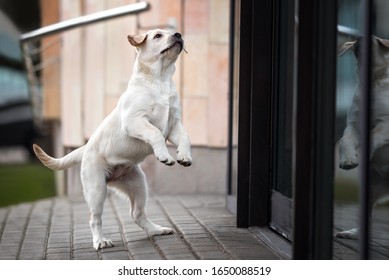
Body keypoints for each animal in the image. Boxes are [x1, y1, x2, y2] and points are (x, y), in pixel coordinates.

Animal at [33, 29, 191, 249]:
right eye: (158, 35)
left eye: (173, 33)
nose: (178, 34)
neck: (160, 80)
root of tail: (85, 148)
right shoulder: (135, 120)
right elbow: (155, 133)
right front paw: (164, 156)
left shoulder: (174, 124)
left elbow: (185, 138)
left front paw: (184, 156)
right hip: (97, 189)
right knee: (94, 218)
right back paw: (100, 241)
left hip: (138, 184)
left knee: (137, 214)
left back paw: (156, 230)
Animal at [336, 36, 388, 238]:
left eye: (376, 41)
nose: (359, 38)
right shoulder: (354, 125)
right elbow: (345, 141)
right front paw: (348, 160)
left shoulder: (385, 123)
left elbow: (373, 135)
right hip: (369, 191)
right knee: (368, 218)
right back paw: (352, 233)